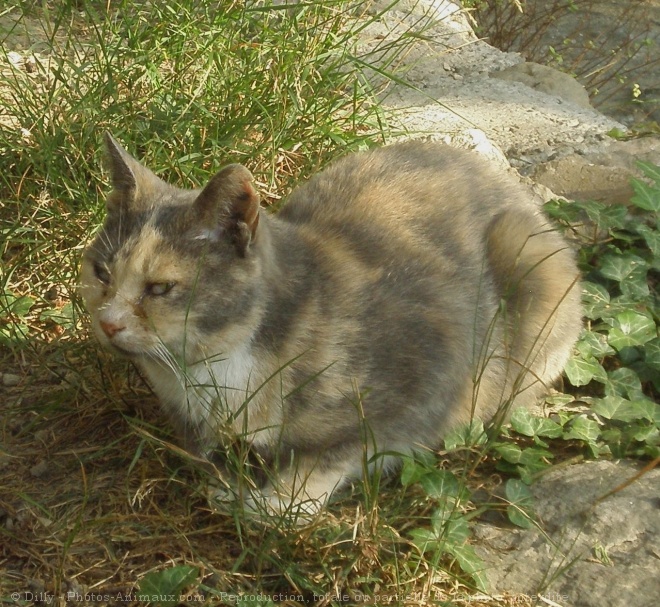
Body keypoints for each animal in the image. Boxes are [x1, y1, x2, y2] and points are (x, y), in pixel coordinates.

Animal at [82, 135, 584, 520]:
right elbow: (205, 455)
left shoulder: (432, 367)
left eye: (161, 287)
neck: (213, 371)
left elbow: (335, 454)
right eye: (102, 272)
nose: (107, 322)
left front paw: (272, 505)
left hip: (527, 263)